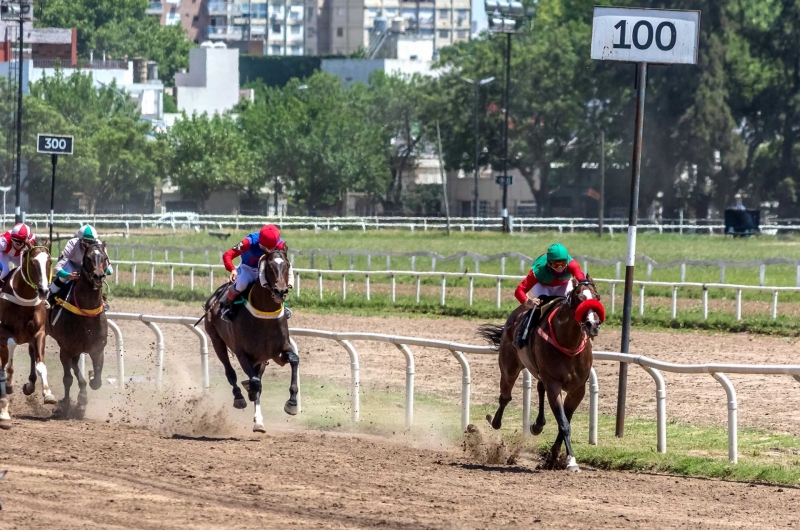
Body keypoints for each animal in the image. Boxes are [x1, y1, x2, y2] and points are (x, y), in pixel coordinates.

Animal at [0, 240, 54, 428]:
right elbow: (10, 350)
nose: (44, 291)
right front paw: (9, 384)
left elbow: (41, 364)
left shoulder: (39, 333)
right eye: (33, 262)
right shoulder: (4, 332)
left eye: (49, 261)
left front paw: (48, 394)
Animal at [46, 239, 108, 416]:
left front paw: (89, 381)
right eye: (87, 258)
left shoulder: (97, 348)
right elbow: (67, 378)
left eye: (105, 258)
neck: (86, 314)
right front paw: (66, 403)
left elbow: (97, 380)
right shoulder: (65, 349)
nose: (98, 276)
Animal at [203, 246, 296, 428]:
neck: (265, 315)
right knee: (230, 372)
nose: (280, 291)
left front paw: (292, 403)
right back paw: (240, 398)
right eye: (270, 266)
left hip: (261, 359)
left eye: (287, 265)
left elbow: (294, 360)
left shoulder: (277, 352)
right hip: (216, 340)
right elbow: (254, 382)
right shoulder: (243, 354)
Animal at [482, 274, 600, 468]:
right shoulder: (554, 383)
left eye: (597, 297)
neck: (569, 343)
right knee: (505, 396)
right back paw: (495, 421)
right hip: (509, 367)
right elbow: (564, 423)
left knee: (538, 387)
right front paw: (571, 461)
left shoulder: (578, 389)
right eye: (578, 298)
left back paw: (537, 425)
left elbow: (565, 421)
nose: (593, 324)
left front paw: (554, 458)